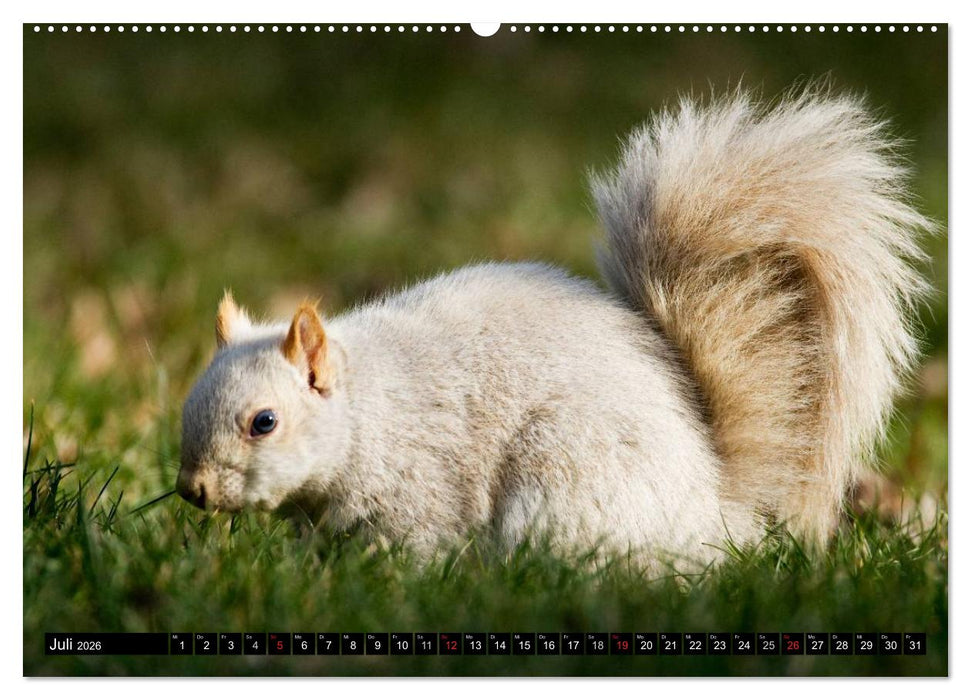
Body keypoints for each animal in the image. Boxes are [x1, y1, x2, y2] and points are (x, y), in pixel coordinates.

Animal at [177, 87, 931, 568]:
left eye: (264, 422)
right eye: (186, 405)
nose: (193, 492)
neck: (370, 410)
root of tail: (715, 513)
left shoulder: (422, 491)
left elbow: (414, 549)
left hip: (565, 476)